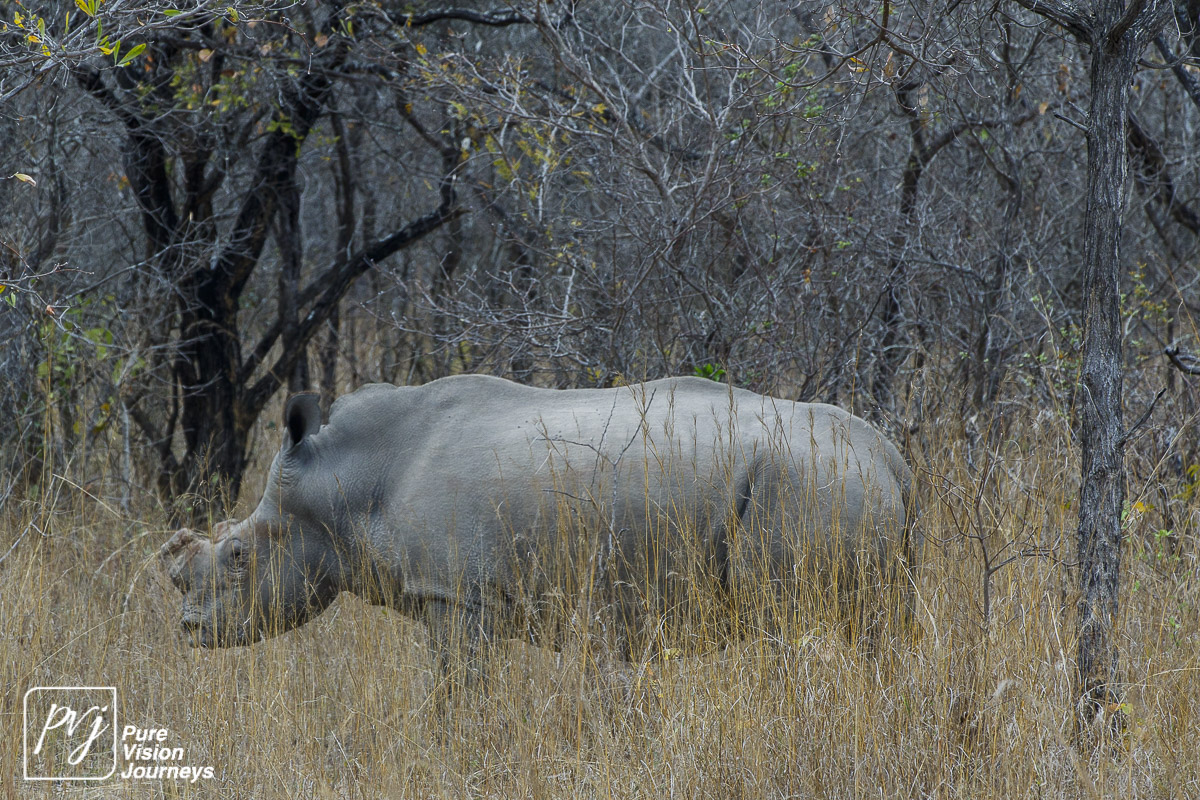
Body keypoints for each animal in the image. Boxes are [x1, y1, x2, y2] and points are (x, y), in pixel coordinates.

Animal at [162, 375, 918, 675]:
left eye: (237, 555)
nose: (189, 630)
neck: (346, 480)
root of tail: (889, 455)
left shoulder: (457, 596)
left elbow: (456, 694)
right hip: (838, 487)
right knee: (876, 633)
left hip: (807, 487)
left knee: (797, 621)